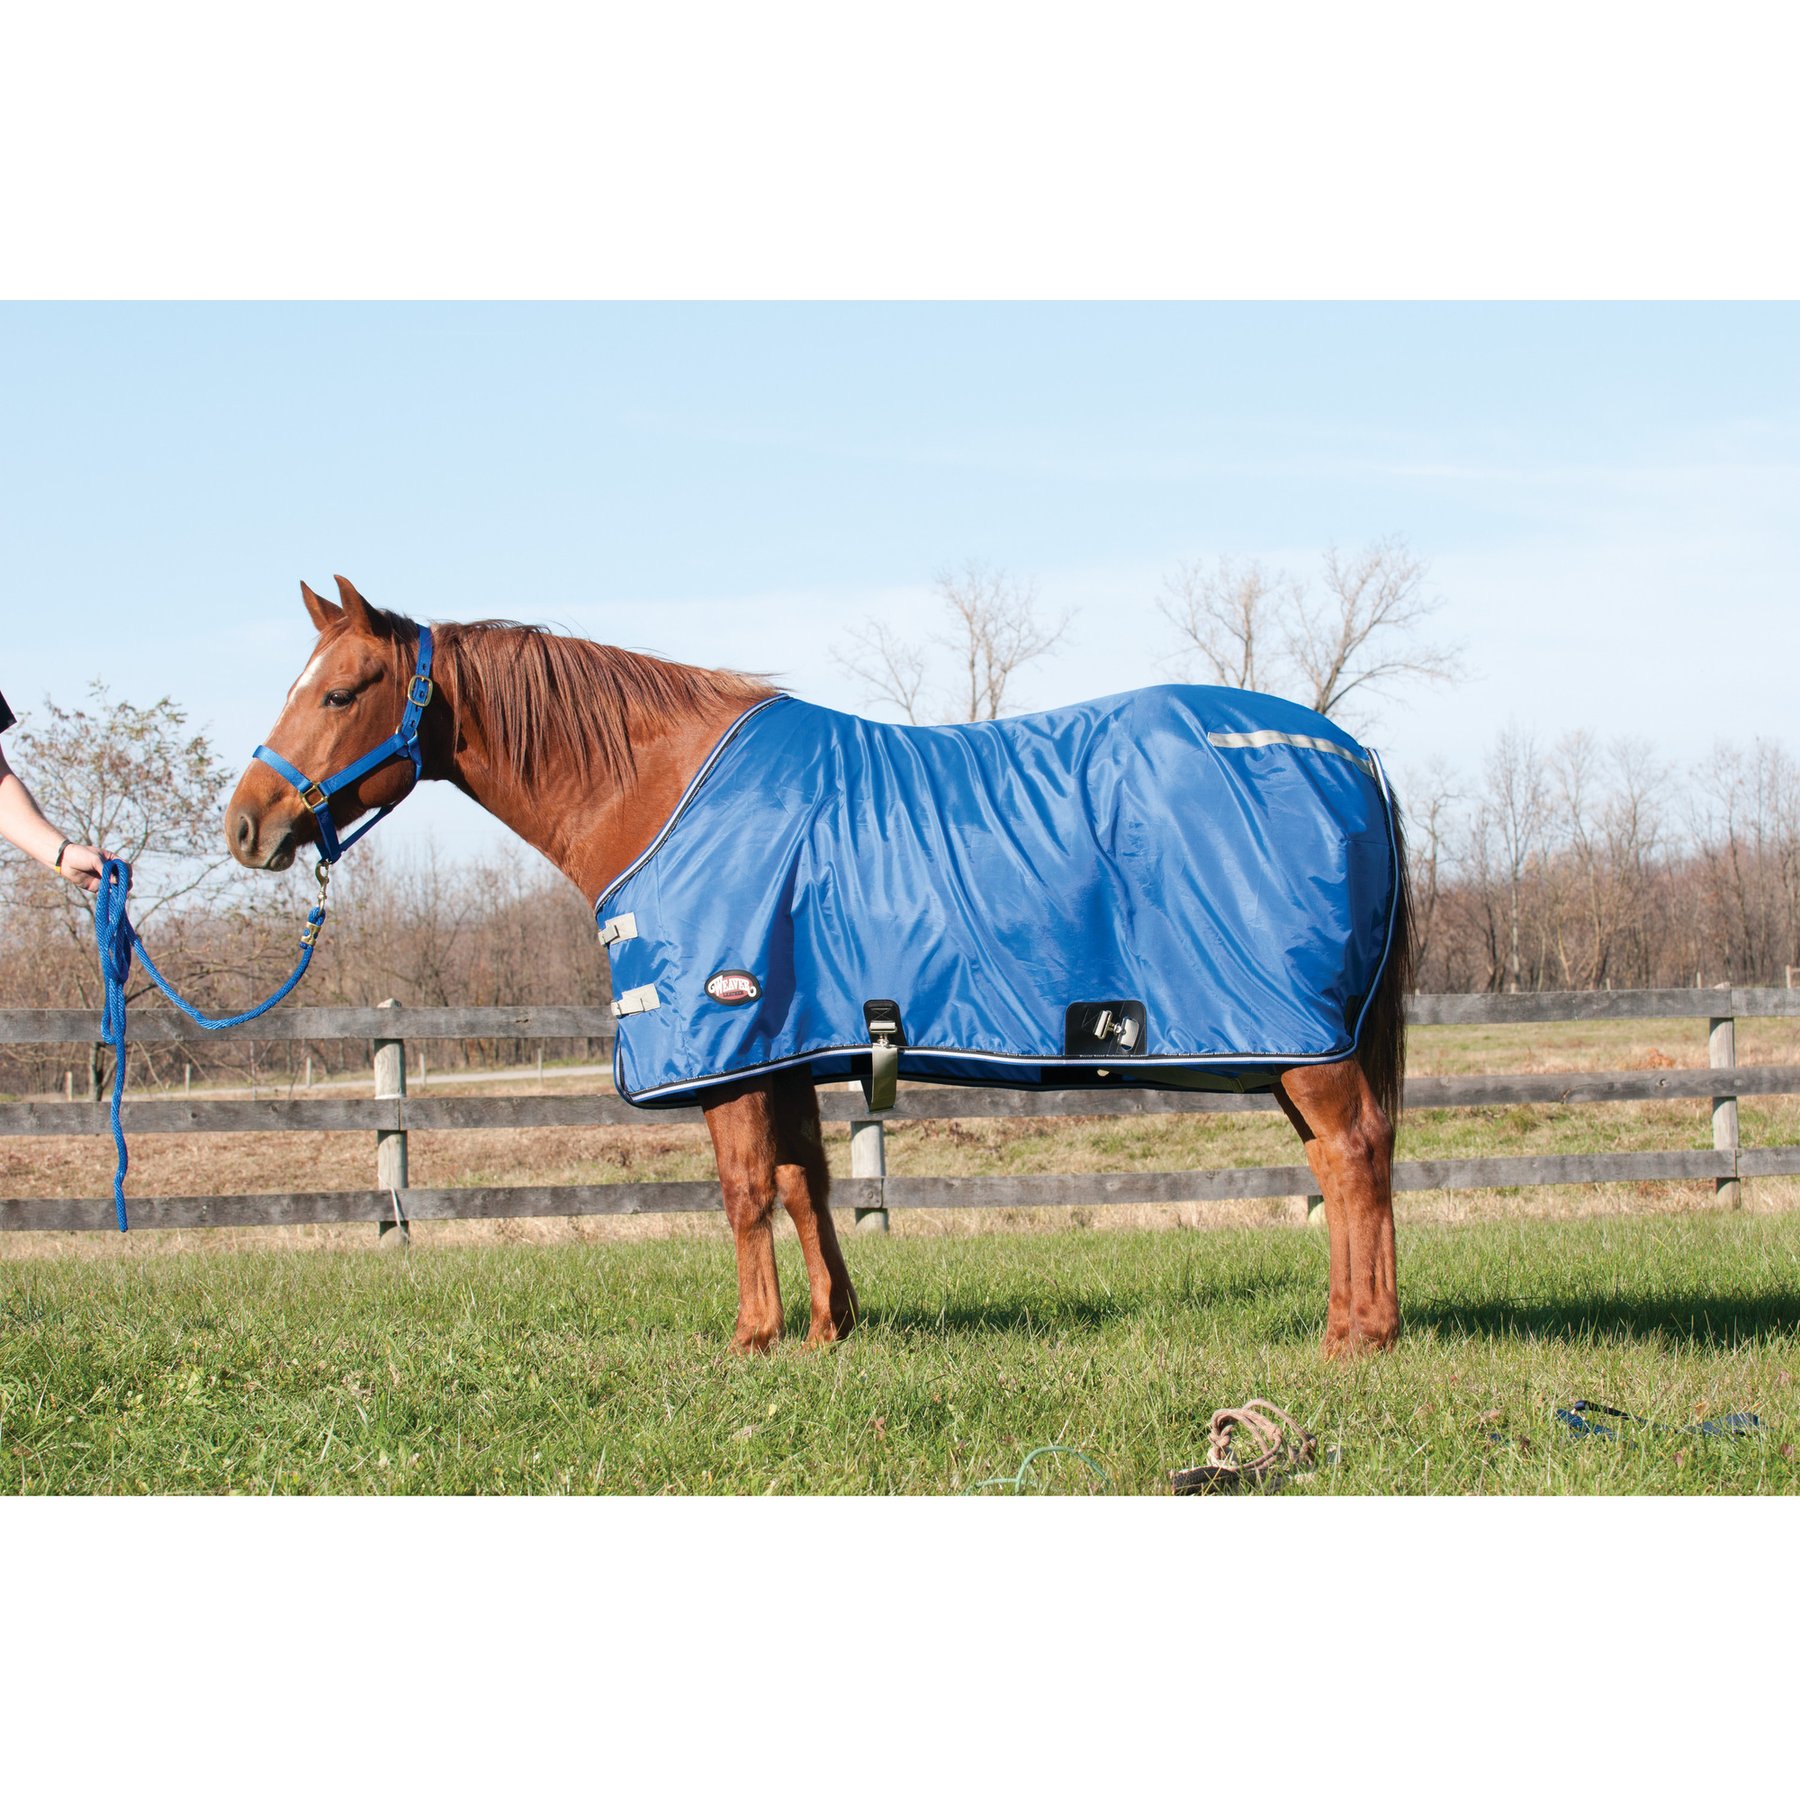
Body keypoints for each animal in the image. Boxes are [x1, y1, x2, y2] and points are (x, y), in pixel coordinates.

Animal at [227, 576, 1413, 1357]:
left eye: (342, 693)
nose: (248, 824)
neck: (659, 789)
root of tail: (1355, 754)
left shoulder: (729, 1039)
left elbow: (745, 1189)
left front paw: (752, 1341)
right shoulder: (786, 1042)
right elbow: (806, 1183)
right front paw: (825, 1332)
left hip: (1299, 1040)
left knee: (1352, 1156)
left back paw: (1355, 1338)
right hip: (1303, 1041)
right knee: (1346, 1159)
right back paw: (1356, 1323)